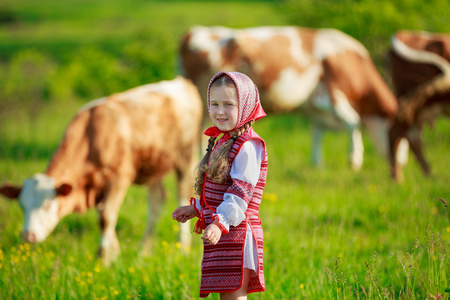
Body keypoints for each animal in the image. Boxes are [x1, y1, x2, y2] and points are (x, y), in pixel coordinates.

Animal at [0, 76, 201, 264]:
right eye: (22, 205)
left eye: (47, 204)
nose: (28, 235)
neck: (92, 137)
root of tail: (182, 82)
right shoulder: (97, 185)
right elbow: (103, 216)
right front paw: (114, 254)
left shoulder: (119, 178)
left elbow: (106, 217)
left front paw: (103, 257)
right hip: (153, 167)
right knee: (156, 204)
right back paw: (144, 249)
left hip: (186, 157)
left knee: (181, 195)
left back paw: (182, 246)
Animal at [179, 25, 404, 171]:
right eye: (400, 135)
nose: (402, 163)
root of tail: (193, 32)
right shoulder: (329, 95)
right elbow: (353, 122)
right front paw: (354, 160)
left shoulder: (315, 107)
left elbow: (316, 131)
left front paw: (317, 164)